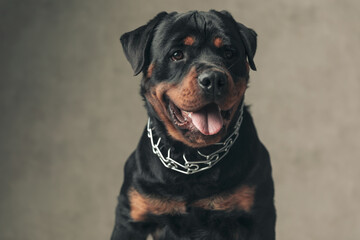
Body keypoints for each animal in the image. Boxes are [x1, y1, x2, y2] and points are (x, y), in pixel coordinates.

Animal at [109, 9, 276, 240]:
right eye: (177, 54)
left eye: (229, 53)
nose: (213, 78)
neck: (191, 158)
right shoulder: (130, 217)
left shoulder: (258, 218)